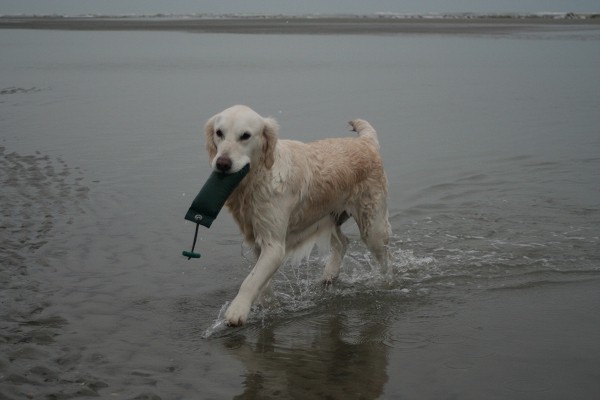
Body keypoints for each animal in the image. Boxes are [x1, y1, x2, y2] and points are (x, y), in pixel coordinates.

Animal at [205, 105, 392, 326]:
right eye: (219, 133)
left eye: (245, 136)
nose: (222, 163)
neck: (258, 178)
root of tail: (365, 141)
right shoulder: (258, 241)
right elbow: (261, 281)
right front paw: (269, 305)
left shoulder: (274, 245)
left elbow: (250, 280)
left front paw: (237, 310)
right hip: (327, 217)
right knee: (343, 242)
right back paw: (330, 273)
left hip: (372, 228)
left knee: (385, 258)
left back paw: (385, 282)